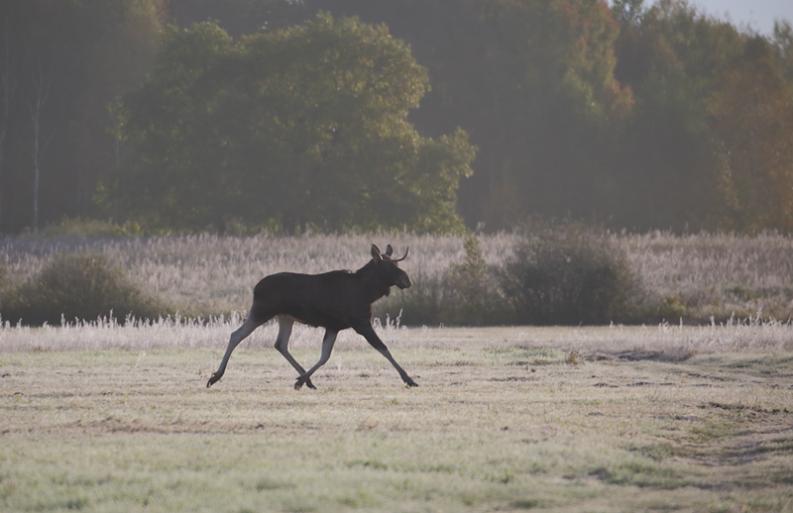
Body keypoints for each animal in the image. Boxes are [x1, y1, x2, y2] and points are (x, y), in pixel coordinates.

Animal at [204, 244, 418, 388]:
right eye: (388, 266)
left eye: (396, 264)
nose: (406, 279)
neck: (368, 292)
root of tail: (255, 288)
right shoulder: (360, 323)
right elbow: (383, 348)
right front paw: (409, 378)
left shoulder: (333, 326)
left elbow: (325, 356)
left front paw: (302, 379)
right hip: (261, 311)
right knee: (236, 335)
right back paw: (216, 376)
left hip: (285, 317)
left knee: (280, 344)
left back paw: (307, 380)